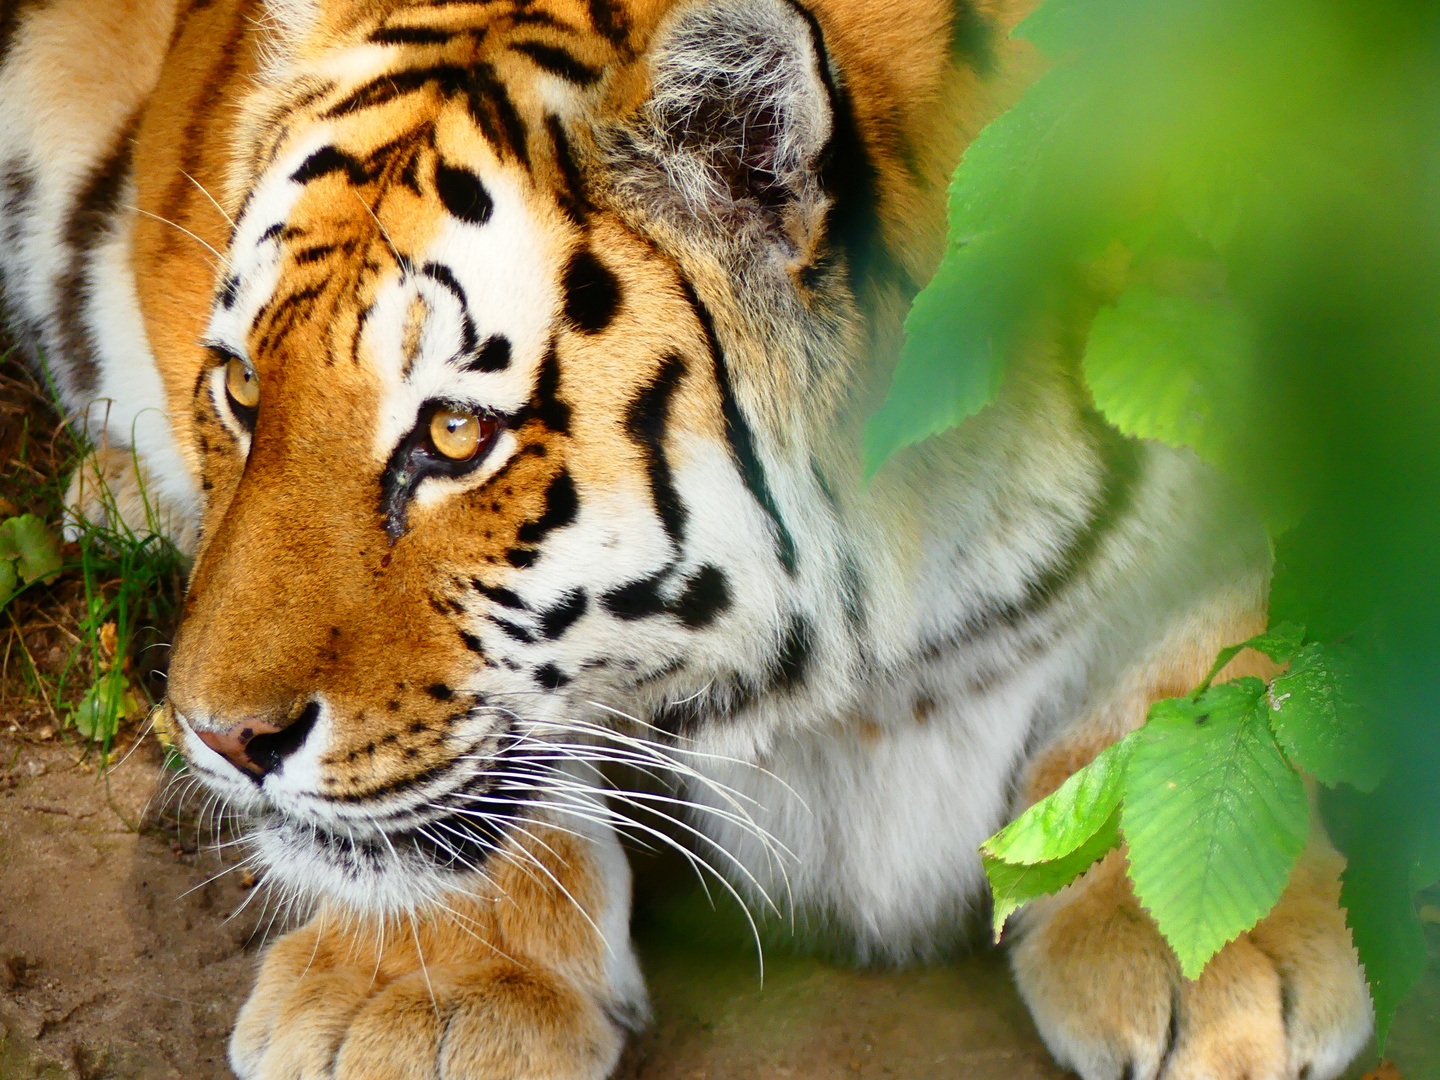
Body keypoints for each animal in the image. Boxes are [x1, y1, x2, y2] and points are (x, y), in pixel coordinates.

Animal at [0, 0, 1370, 1077]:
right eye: (242, 386)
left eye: (453, 433)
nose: (216, 739)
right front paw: (423, 997)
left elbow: (1217, 651)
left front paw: (1218, 961)